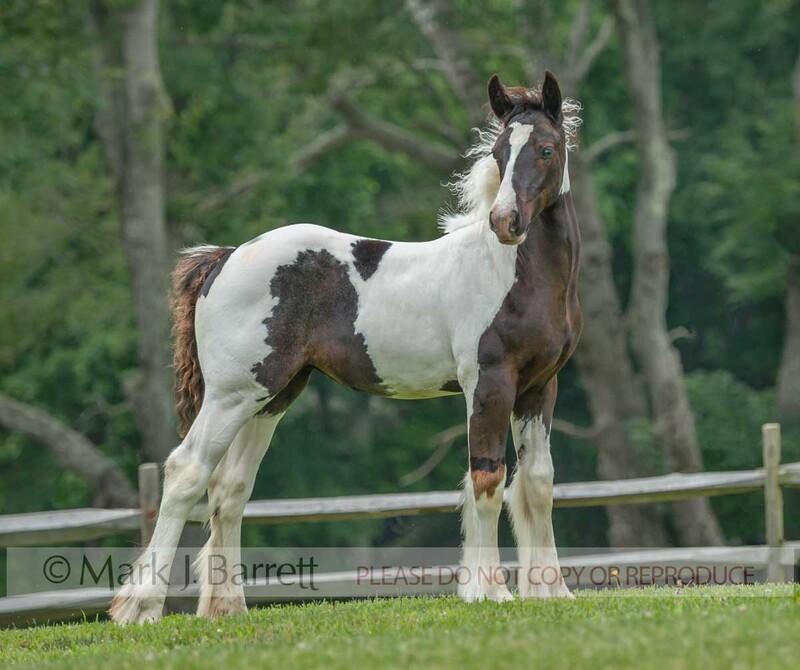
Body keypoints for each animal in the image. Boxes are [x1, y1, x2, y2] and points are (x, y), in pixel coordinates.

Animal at [110, 71, 583, 623]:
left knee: (230, 488)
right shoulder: (488, 384)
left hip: (271, 397)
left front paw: (551, 591)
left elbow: (537, 484)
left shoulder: (539, 387)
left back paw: (227, 607)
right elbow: (487, 481)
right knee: (187, 471)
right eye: (498, 152)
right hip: (231, 395)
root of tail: (225, 258)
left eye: (546, 149)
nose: (505, 222)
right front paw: (489, 591)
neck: (513, 274)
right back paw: (140, 607)